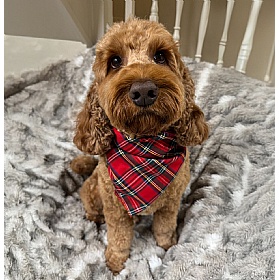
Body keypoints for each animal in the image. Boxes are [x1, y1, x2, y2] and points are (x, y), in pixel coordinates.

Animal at [71, 18, 209, 274]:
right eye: (115, 61)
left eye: (160, 56)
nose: (144, 90)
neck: (145, 145)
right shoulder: (115, 208)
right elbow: (119, 237)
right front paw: (115, 263)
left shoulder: (171, 203)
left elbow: (164, 227)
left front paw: (168, 246)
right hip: (93, 191)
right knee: (91, 207)